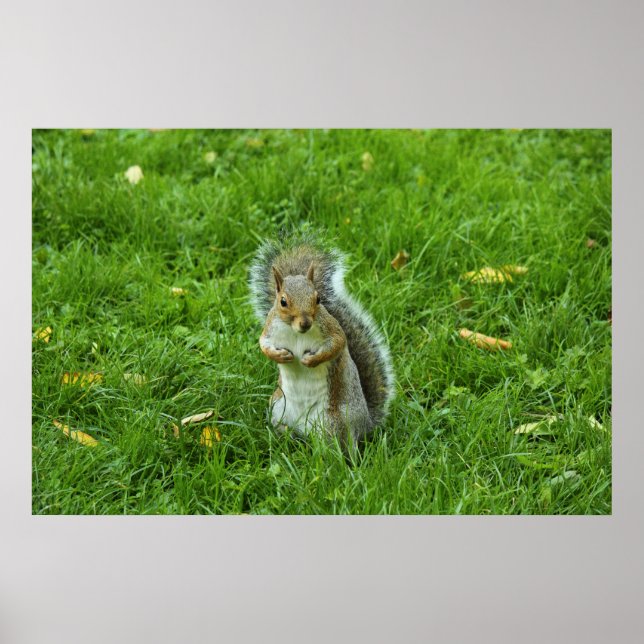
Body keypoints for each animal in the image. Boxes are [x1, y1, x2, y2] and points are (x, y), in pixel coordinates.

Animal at [248, 236, 394, 444]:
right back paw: (284, 436)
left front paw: (311, 360)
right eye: (283, 301)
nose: (305, 323)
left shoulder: (332, 329)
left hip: (334, 424)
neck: (296, 332)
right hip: (277, 407)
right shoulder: (270, 329)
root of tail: (366, 424)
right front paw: (280, 356)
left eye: (317, 299)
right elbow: (263, 345)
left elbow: (337, 344)